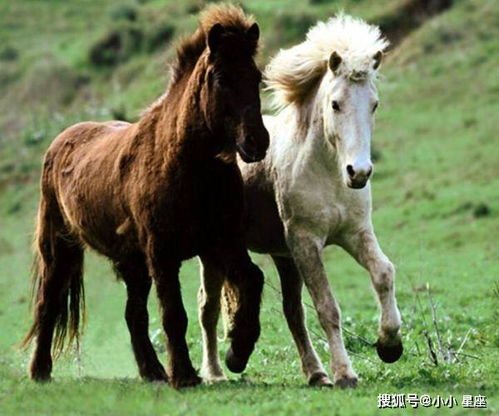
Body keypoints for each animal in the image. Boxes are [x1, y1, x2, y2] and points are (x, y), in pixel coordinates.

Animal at [21, 5, 270, 390]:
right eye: (221, 78)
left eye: (256, 77)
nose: (257, 142)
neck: (187, 165)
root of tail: (62, 139)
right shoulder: (162, 253)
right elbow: (173, 314)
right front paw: (184, 376)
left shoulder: (222, 242)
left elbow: (252, 279)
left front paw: (237, 352)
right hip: (60, 249)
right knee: (48, 304)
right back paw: (40, 371)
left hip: (132, 262)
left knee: (133, 314)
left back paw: (152, 371)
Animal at [198, 15, 402, 386]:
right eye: (335, 103)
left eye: (374, 104)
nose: (359, 172)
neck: (328, 173)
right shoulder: (307, 242)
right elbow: (327, 307)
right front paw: (345, 374)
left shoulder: (355, 233)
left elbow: (384, 273)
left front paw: (389, 345)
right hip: (215, 252)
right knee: (208, 307)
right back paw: (216, 373)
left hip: (283, 256)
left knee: (291, 311)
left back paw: (315, 373)